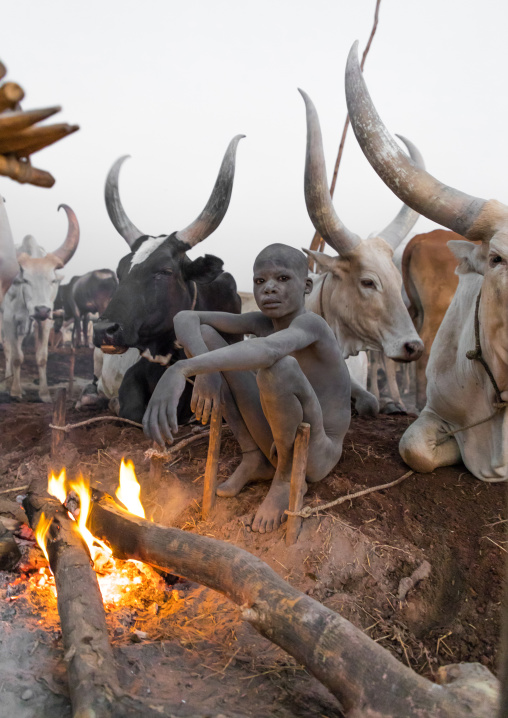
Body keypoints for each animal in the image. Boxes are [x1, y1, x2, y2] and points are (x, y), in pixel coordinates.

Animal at [1, 204, 79, 402]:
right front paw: (15, 390)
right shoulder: (10, 319)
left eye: (53, 280)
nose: (41, 310)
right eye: (25, 280)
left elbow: (42, 356)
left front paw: (44, 394)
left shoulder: (45, 322)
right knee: (7, 348)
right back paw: (6, 384)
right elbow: (16, 356)